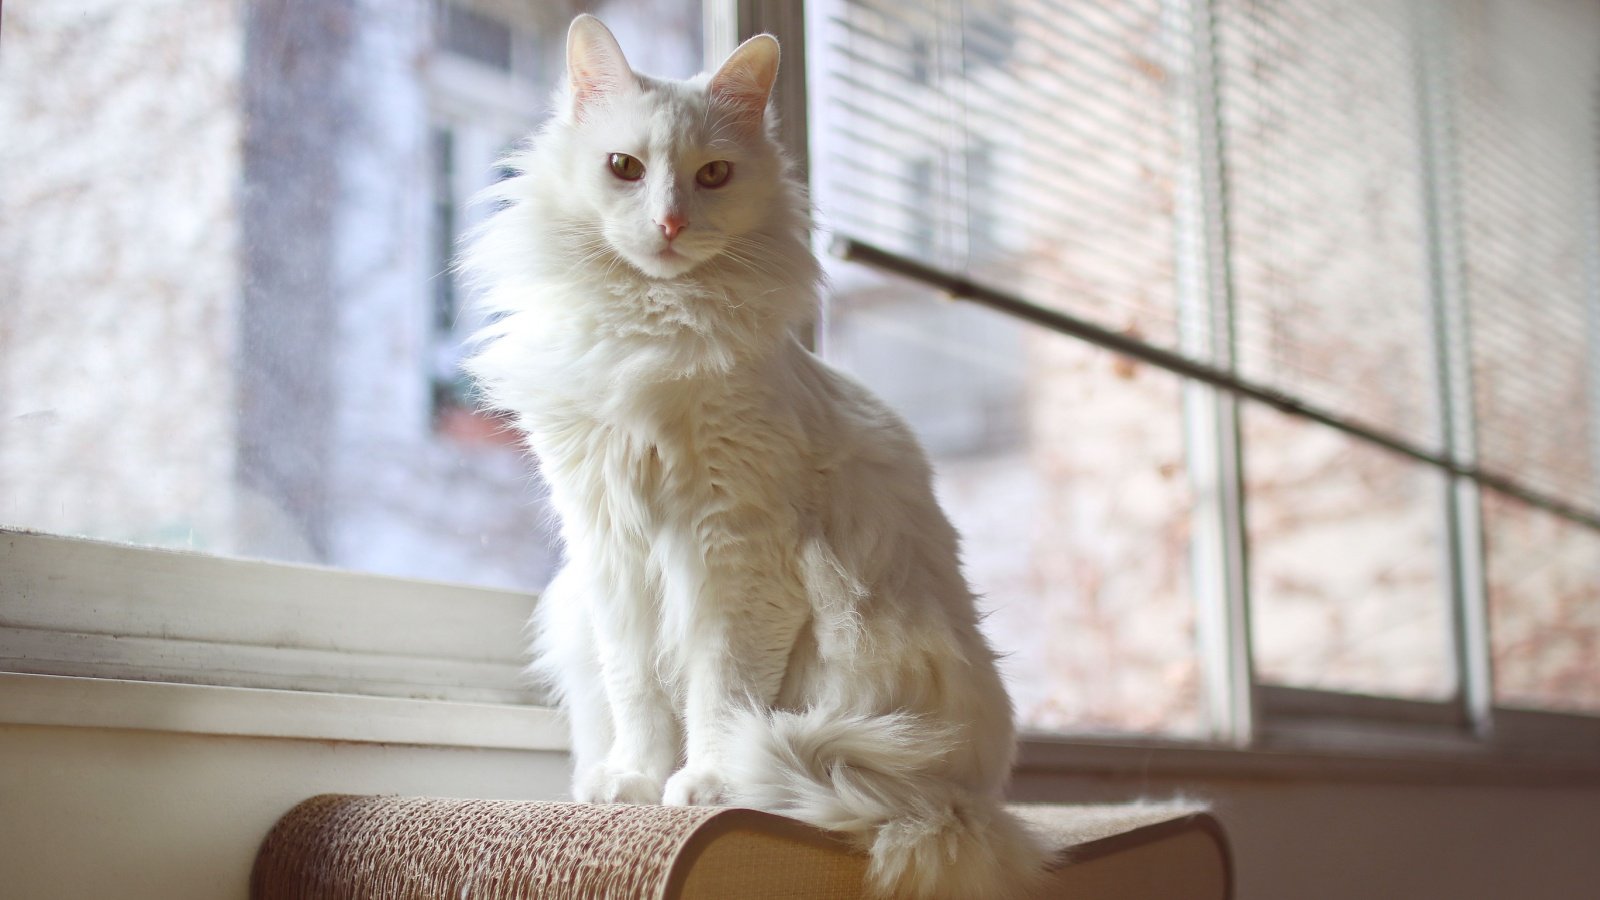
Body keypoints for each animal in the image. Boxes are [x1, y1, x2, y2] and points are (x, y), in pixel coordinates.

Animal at [464, 15, 1049, 896]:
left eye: (713, 175)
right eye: (624, 168)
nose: (670, 224)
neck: (651, 329)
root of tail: (961, 806)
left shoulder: (736, 550)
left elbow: (723, 690)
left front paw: (708, 785)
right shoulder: (612, 549)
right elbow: (638, 692)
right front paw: (635, 784)